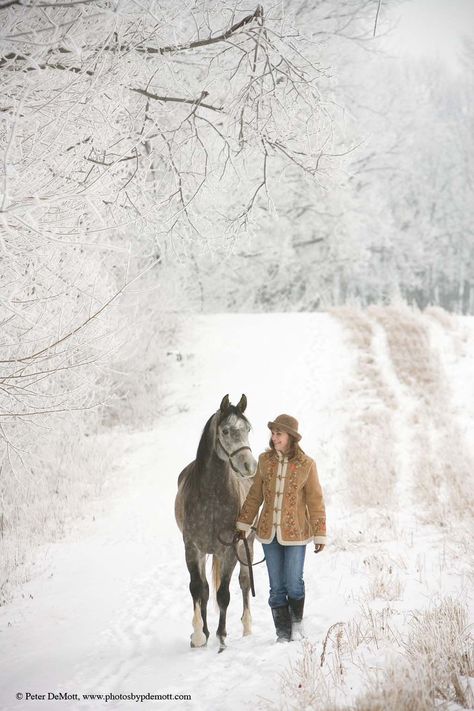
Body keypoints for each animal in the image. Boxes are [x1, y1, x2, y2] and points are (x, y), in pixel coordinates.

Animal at [174, 392, 256, 652]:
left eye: (248, 429)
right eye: (226, 431)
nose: (249, 466)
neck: (211, 495)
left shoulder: (229, 549)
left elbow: (224, 594)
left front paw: (221, 638)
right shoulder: (192, 548)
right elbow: (198, 589)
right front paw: (199, 636)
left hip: (247, 545)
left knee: (244, 582)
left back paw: (246, 628)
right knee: (205, 589)